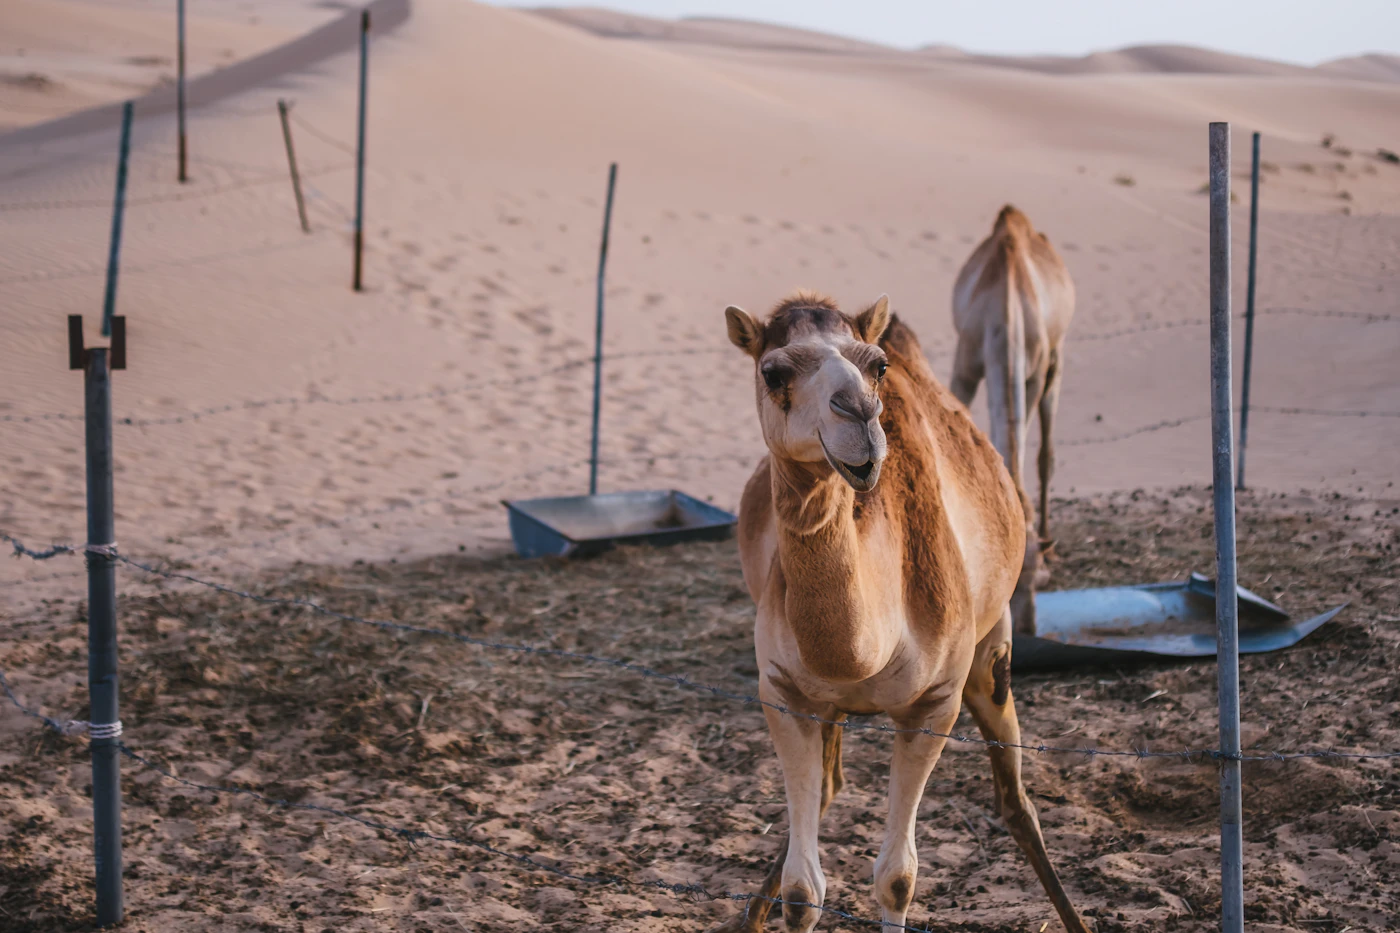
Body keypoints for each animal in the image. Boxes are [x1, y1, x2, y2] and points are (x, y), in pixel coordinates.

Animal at [712, 292, 1087, 932]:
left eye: (877, 366)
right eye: (774, 372)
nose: (860, 414)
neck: (863, 649)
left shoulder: (933, 703)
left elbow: (897, 878)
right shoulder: (784, 693)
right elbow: (803, 890)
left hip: (991, 649)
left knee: (1016, 799)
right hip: (830, 703)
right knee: (831, 786)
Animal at [950, 205, 1075, 634]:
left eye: (1039, 581)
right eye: (1009, 582)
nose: (1028, 629)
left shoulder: (1033, 371)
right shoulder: (964, 366)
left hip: (1055, 358)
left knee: (1046, 451)